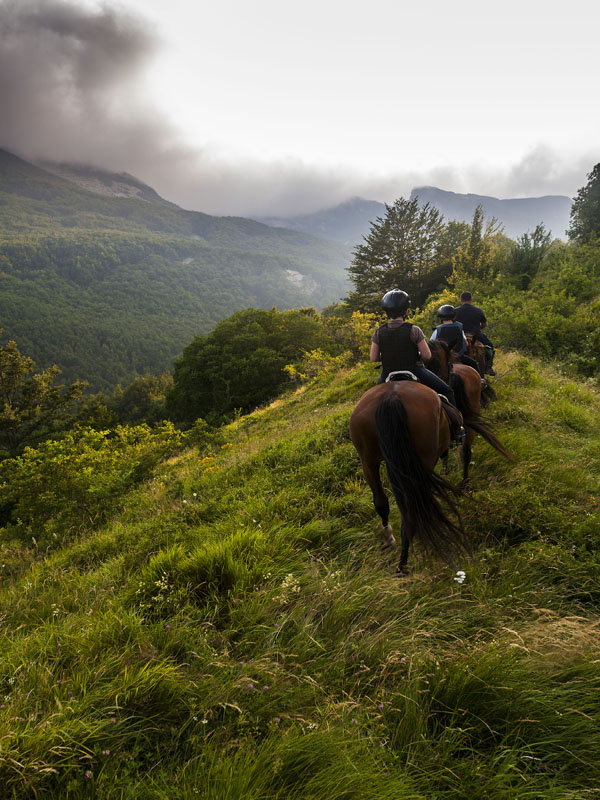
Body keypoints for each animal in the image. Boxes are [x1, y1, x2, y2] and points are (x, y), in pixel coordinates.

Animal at [346, 378, 468, 572]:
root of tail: (392, 398)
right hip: (422, 459)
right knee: (412, 508)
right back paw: (403, 563)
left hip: (368, 461)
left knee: (381, 503)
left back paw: (390, 539)